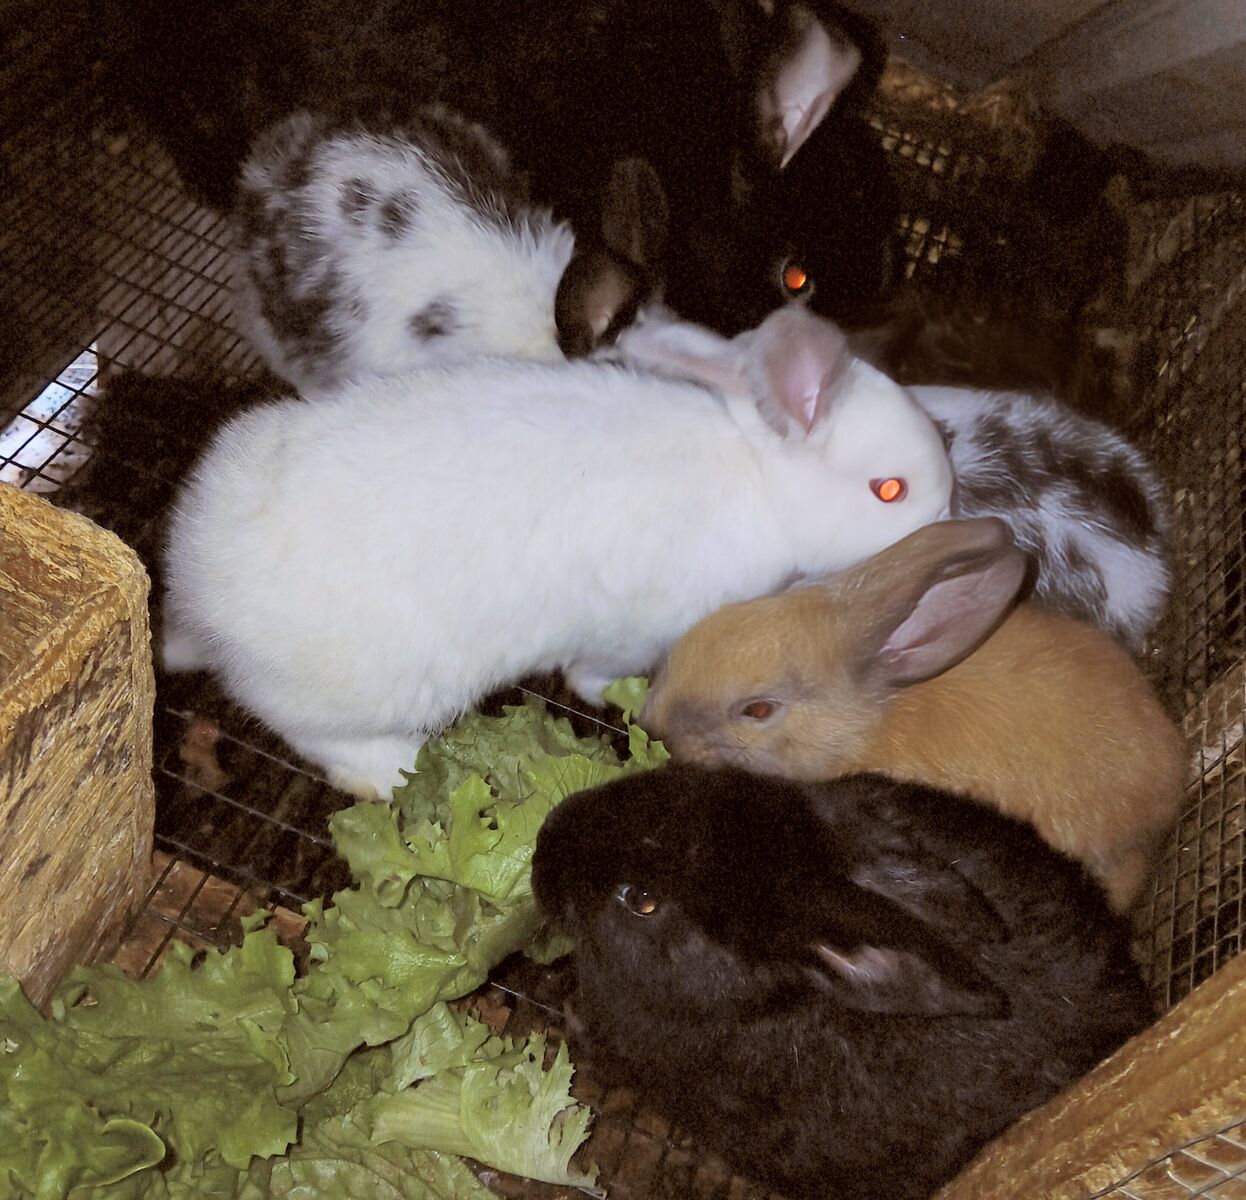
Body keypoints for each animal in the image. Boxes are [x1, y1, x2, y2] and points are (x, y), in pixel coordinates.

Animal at [159, 304, 953, 800]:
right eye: (890, 490)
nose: (950, 518)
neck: (758, 479)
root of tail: (198, 592)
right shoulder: (634, 631)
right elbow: (592, 674)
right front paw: (615, 697)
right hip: (357, 694)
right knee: (305, 729)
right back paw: (389, 771)